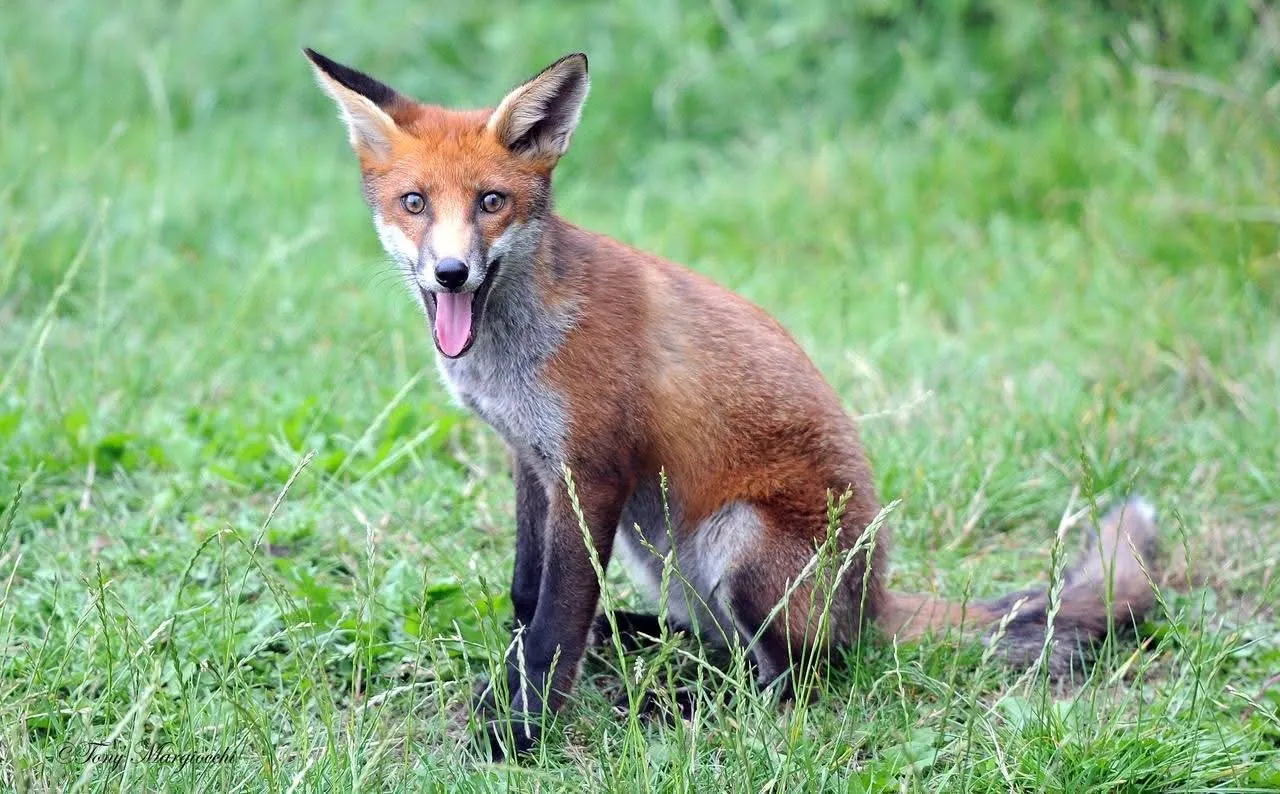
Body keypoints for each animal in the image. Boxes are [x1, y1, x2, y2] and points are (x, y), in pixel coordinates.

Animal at [304, 49, 1160, 758]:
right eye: (415, 202)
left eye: (490, 202)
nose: (450, 273)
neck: (519, 346)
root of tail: (874, 599)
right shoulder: (532, 461)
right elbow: (526, 597)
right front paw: (509, 690)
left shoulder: (593, 472)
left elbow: (554, 623)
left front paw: (518, 736)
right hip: (656, 549)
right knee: (707, 639)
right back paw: (642, 646)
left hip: (737, 539)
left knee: (800, 678)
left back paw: (689, 706)